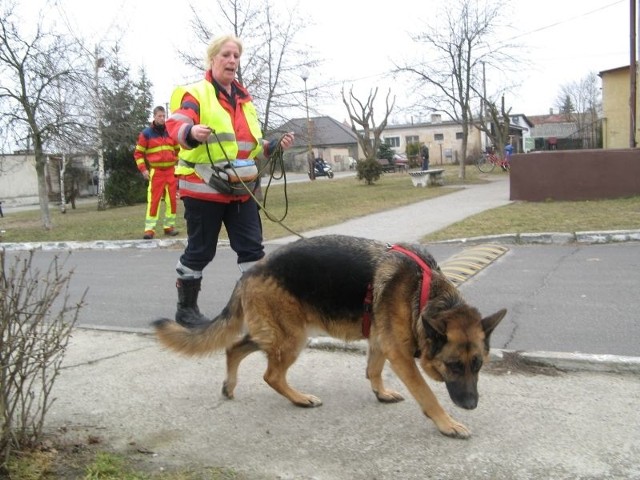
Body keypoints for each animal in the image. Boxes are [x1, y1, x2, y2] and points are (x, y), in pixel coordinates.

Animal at [155, 234, 504, 436]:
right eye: (454, 366)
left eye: (478, 365)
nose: (471, 405)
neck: (423, 292)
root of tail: (250, 272)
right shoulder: (401, 356)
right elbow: (428, 394)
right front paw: (447, 424)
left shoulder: (380, 341)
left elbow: (373, 370)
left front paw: (380, 393)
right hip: (292, 337)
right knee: (270, 374)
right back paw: (300, 398)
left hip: (276, 333)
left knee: (234, 348)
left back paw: (230, 386)